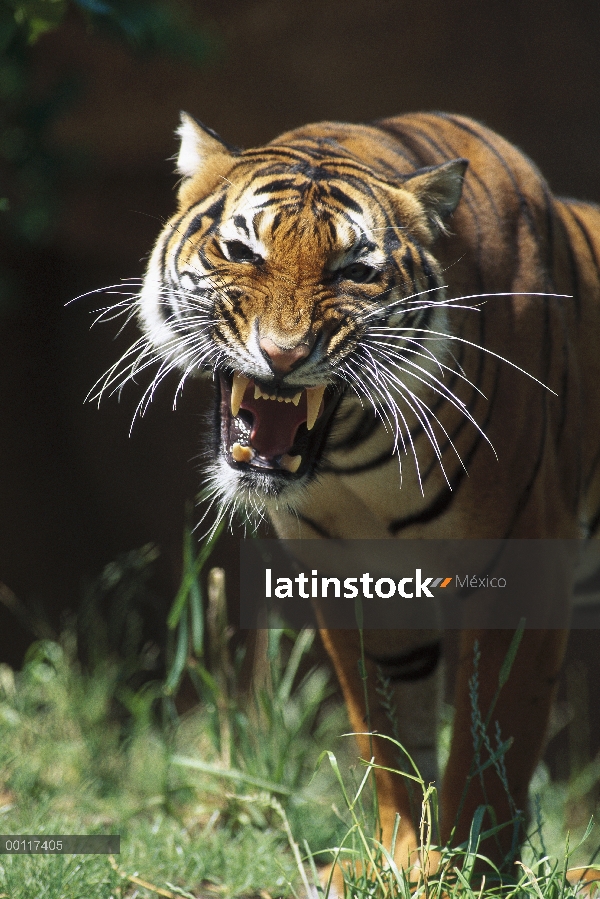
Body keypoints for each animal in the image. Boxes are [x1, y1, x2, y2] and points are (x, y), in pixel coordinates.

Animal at [119, 112, 600, 880]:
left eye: (354, 271)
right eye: (240, 250)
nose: (283, 354)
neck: (356, 458)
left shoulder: (528, 557)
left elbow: (494, 735)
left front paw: (470, 869)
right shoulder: (354, 574)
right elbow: (389, 733)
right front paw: (402, 860)